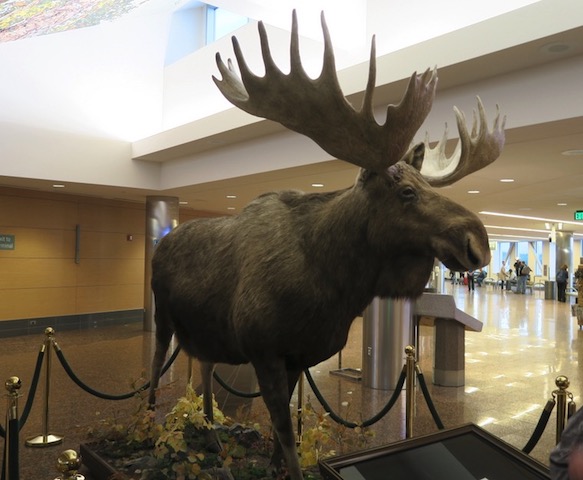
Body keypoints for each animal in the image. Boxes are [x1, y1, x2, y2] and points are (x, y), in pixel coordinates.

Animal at [149, 9, 506, 478]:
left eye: (426, 184)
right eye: (406, 192)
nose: (478, 241)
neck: (335, 283)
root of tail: (161, 244)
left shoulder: (300, 354)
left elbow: (281, 437)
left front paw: (269, 466)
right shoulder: (265, 350)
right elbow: (285, 433)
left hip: (206, 331)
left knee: (204, 371)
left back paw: (211, 439)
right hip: (162, 316)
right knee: (155, 370)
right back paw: (148, 433)